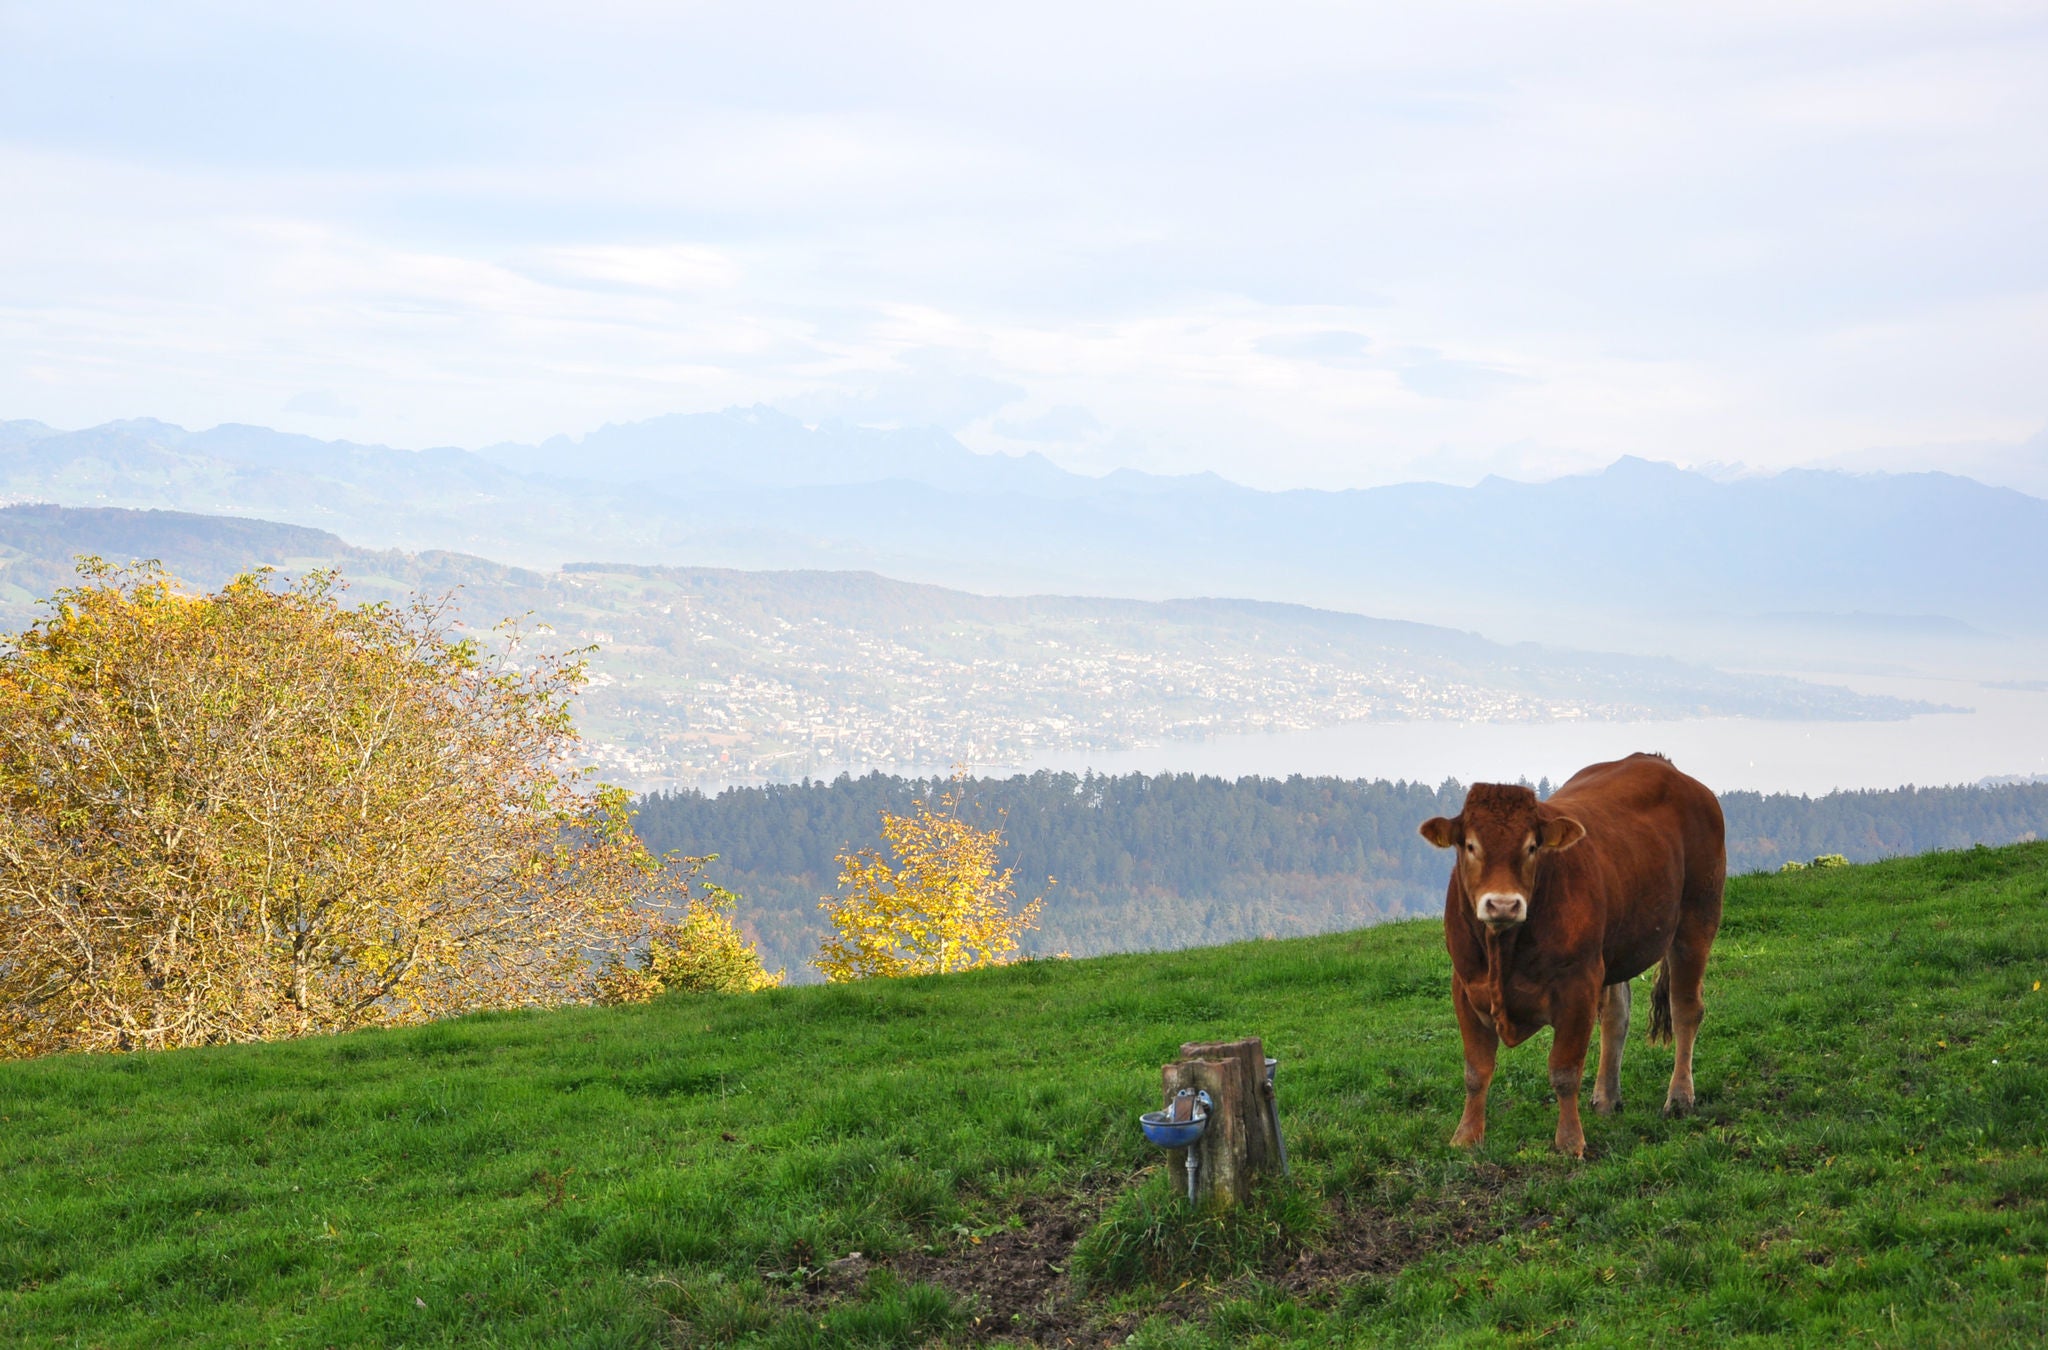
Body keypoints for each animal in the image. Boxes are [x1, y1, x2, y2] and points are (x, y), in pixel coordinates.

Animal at [1425, 753, 1728, 1155]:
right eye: (1470, 846)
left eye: (1532, 846)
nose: (1503, 904)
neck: (1503, 949)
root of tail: (1658, 761)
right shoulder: (1465, 985)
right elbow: (1476, 1071)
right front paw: (1466, 1135)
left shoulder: (1578, 984)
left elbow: (1564, 1071)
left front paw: (1570, 1141)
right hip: (1615, 945)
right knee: (1616, 1014)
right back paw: (1606, 1097)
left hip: (1698, 915)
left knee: (1685, 1008)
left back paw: (1679, 1098)